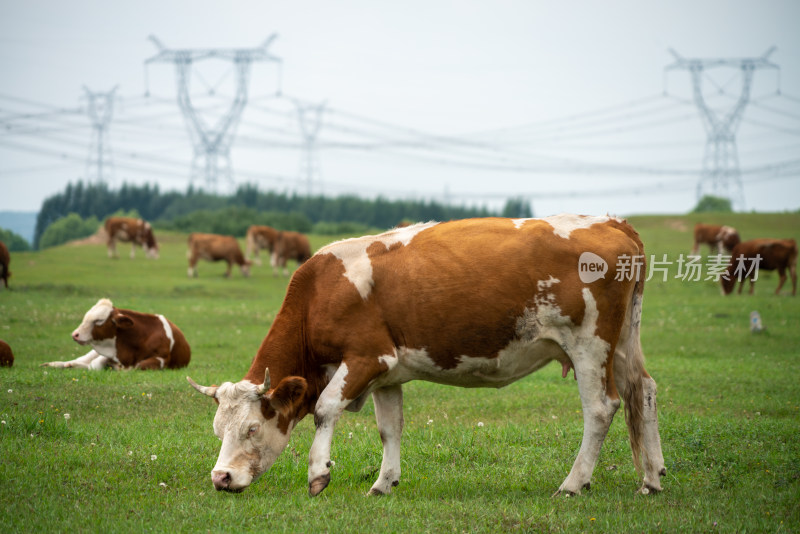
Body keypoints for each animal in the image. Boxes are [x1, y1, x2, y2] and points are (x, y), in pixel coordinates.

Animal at [42, 298, 191, 372]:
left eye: (99, 320)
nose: (75, 334)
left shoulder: (162, 359)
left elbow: (137, 366)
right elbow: (95, 365)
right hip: (92, 353)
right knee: (82, 360)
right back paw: (55, 364)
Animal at [188, 216, 664, 500]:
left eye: (251, 428)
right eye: (218, 430)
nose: (220, 478)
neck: (322, 290)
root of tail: (610, 222)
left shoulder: (367, 357)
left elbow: (325, 409)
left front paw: (318, 473)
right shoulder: (387, 374)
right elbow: (389, 428)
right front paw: (383, 483)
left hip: (590, 345)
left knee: (601, 407)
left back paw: (573, 482)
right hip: (624, 341)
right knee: (643, 392)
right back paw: (652, 477)